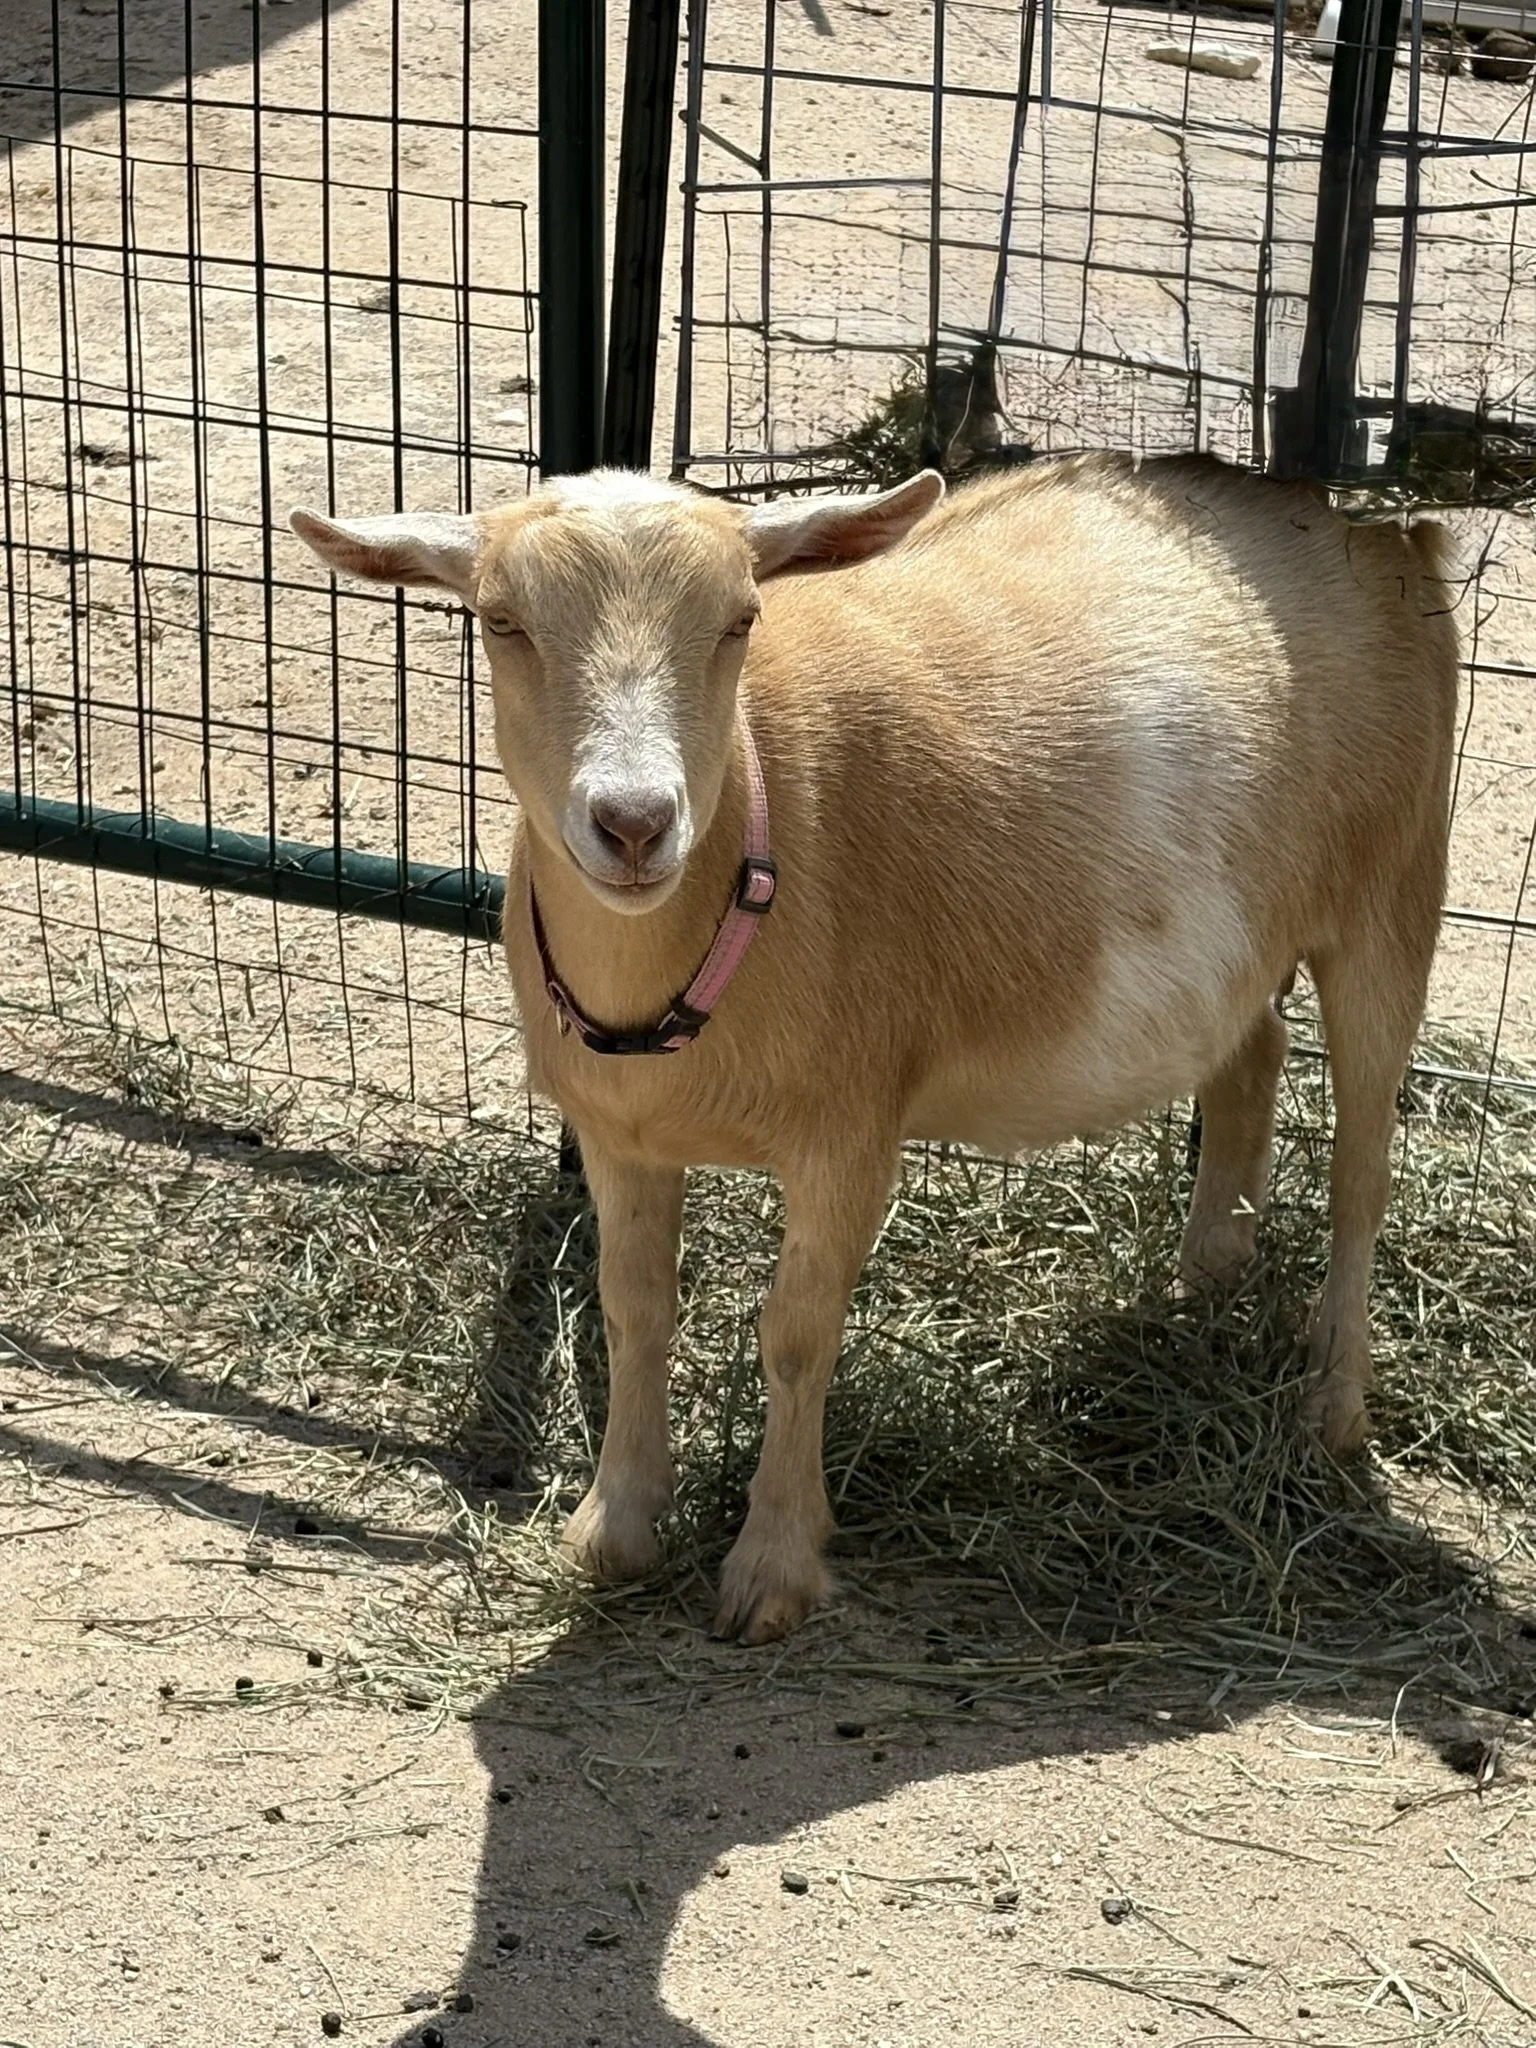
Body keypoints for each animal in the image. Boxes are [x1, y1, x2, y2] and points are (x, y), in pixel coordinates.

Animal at [292, 454, 1458, 1644]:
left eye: (741, 617)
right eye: (500, 619)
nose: (634, 823)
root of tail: (1383, 532)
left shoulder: (849, 1127)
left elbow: (796, 1334)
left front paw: (772, 1567)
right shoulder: (617, 1133)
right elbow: (633, 1309)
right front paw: (615, 1527)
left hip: (1396, 881)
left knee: (1365, 1168)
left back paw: (1332, 1405)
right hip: (1231, 948)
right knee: (1252, 1052)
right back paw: (1209, 1281)